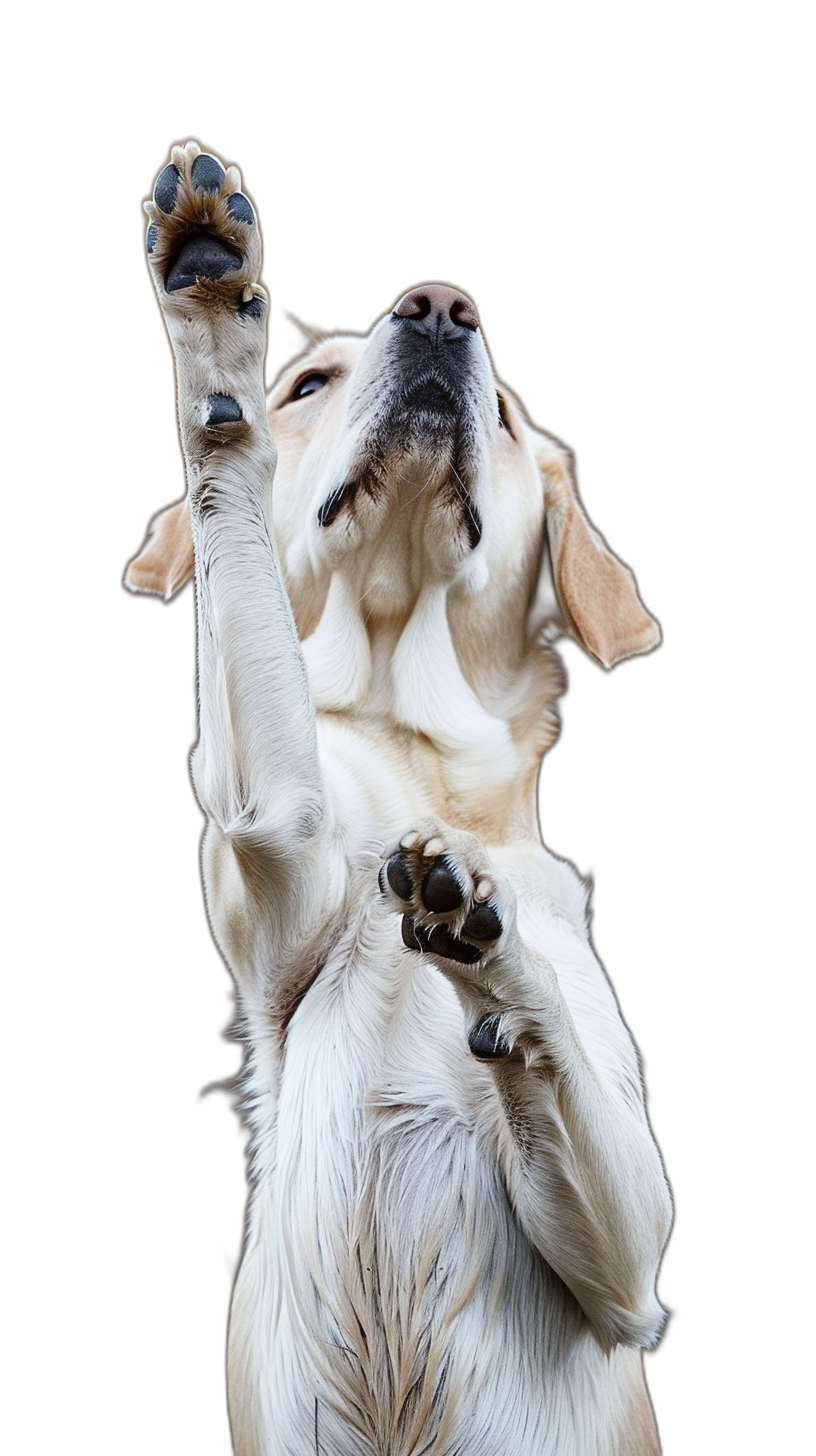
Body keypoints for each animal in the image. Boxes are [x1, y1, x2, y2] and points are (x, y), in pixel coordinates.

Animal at [124, 139, 673, 1456]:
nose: (436, 311)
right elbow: (230, 522)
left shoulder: (633, 1262)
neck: (414, 755)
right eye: (305, 383)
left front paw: (480, 926)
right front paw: (211, 319)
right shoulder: (277, 827)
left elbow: (552, 1040)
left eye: (511, 415)